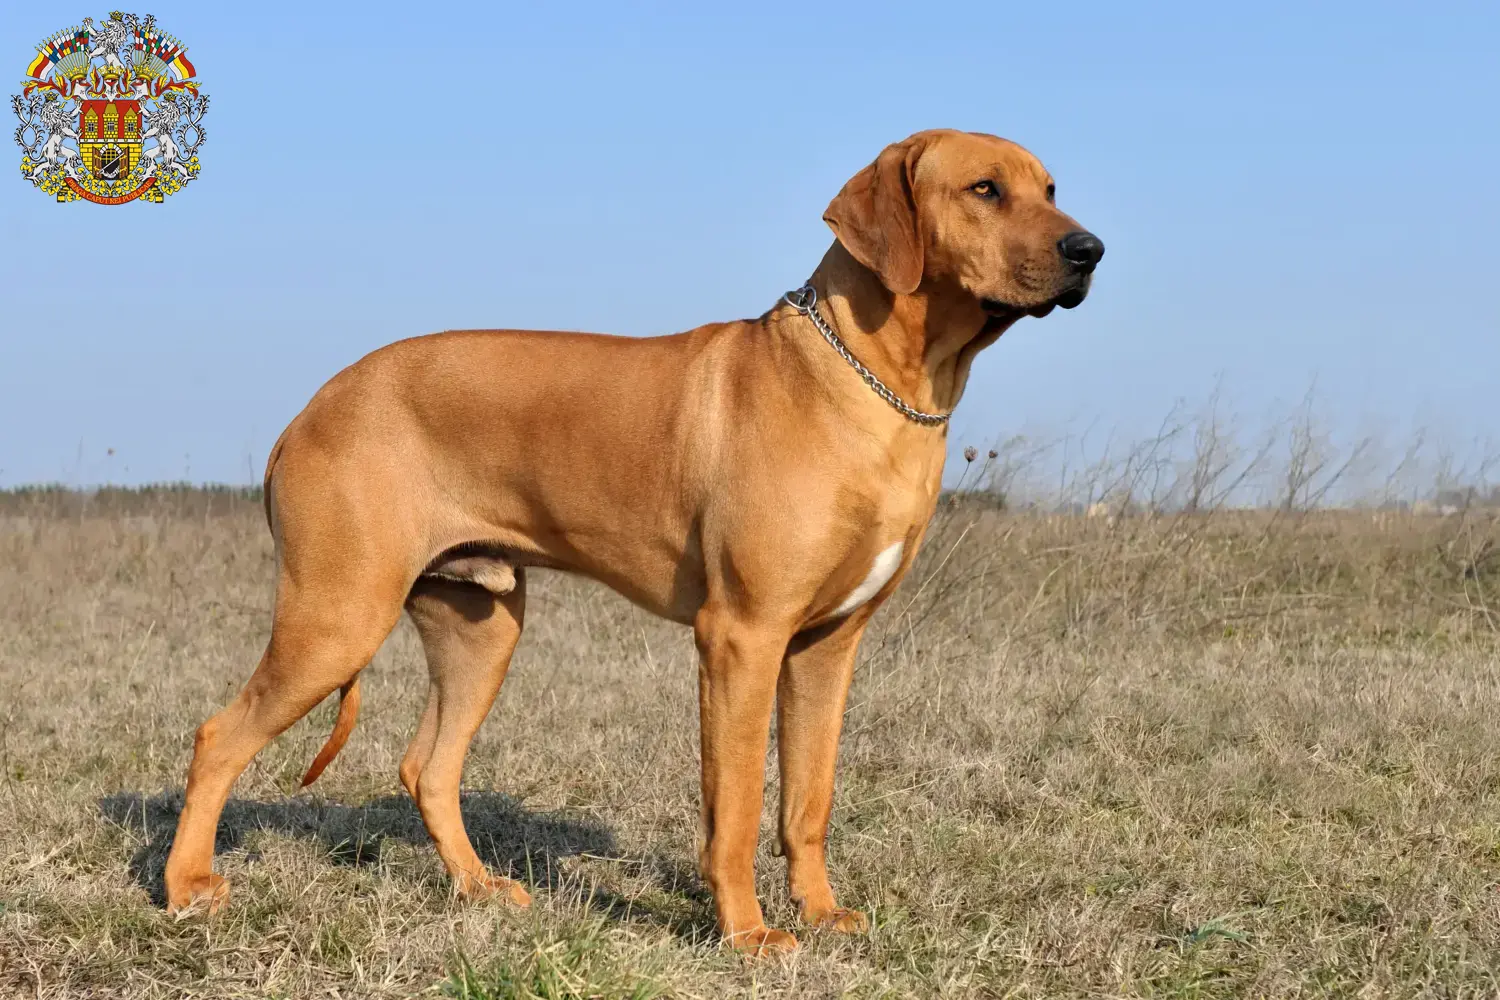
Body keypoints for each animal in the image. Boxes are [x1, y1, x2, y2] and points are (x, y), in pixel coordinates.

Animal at [161, 127, 1104, 953]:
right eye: (984, 189)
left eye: (1051, 187)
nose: (1089, 250)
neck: (875, 385)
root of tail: (307, 412)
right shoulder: (741, 637)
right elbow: (736, 807)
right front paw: (749, 935)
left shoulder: (827, 645)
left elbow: (808, 799)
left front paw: (821, 913)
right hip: (337, 616)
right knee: (217, 738)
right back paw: (185, 888)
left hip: (481, 627)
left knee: (426, 767)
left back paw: (477, 888)